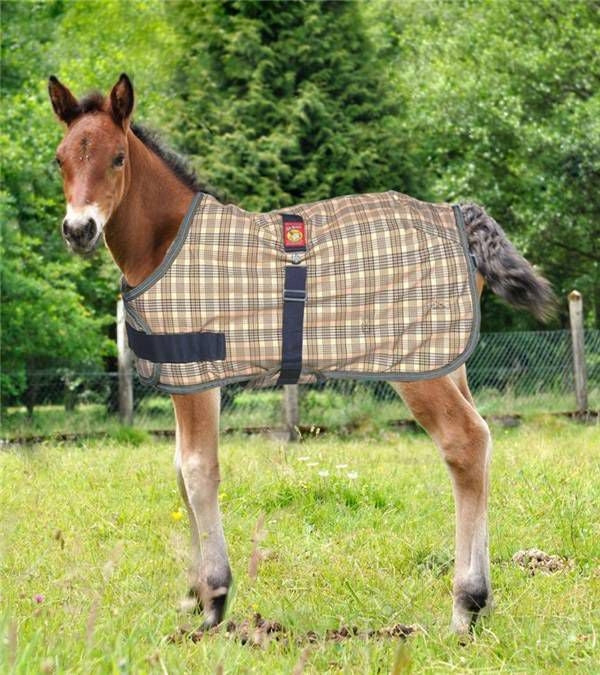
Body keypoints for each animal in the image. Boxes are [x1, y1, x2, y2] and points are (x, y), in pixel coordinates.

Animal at [48, 73, 554, 635]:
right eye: (60, 159)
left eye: (117, 158)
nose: (79, 230)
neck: (167, 241)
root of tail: (460, 218)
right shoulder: (190, 379)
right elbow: (180, 472)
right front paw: (193, 596)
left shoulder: (195, 373)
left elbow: (199, 471)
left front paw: (214, 602)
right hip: (447, 360)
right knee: (480, 445)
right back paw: (483, 604)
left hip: (418, 370)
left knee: (464, 442)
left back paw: (465, 607)